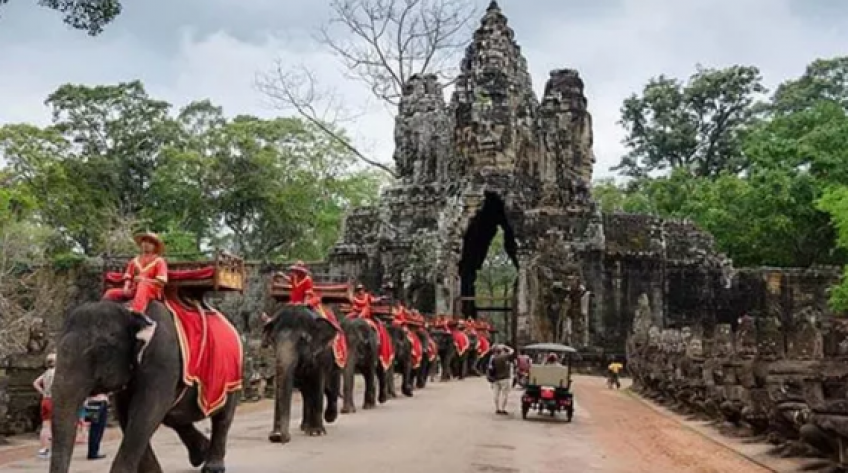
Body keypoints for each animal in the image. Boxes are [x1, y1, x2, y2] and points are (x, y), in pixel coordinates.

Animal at [49, 296, 237, 472]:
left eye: (101, 350)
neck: (129, 308)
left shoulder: (163, 357)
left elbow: (145, 412)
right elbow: (129, 415)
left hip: (232, 376)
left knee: (222, 418)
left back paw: (212, 467)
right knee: (173, 417)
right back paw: (200, 454)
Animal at [264, 302, 344, 442]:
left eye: (302, 339)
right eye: (273, 339)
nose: (278, 437)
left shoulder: (321, 355)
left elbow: (317, 383)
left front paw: (317, 432)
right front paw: (275, 435)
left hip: (336, 361)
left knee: (331, 388)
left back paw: (329, 417)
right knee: (306, 393)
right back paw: (305, 427)